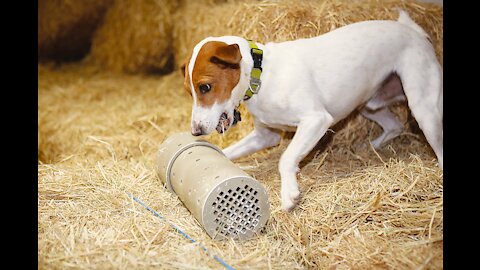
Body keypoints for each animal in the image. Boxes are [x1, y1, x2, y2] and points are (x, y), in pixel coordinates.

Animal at [182, 10, 444, 211]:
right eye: (189, 91)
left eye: (205, 87)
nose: (196, 132)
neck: (262, 75)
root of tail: (415, 32)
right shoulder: (265, 136)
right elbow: (227, 152)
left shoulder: (316, 120)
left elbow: (286, 158)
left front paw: (289, 193)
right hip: (369, 104)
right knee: (394, 125)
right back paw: (369, 147)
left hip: (423, 109)